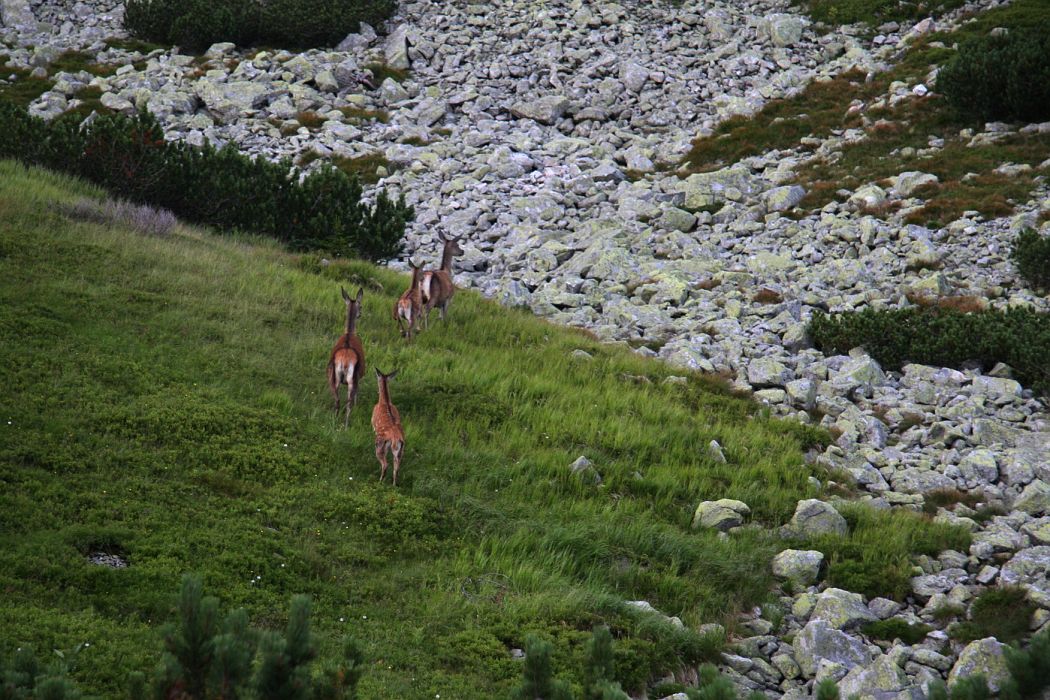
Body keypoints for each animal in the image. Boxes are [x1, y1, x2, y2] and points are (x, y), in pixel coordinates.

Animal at [325, 285, 367, 428]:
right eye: (361, 305)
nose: (360, 314)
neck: (349, 333)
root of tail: (344, 360)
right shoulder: (359, 375)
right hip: (351, 378)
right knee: (348, 403)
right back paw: (346, 425)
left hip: (333, 376)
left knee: (337, 400)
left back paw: (334, 420)